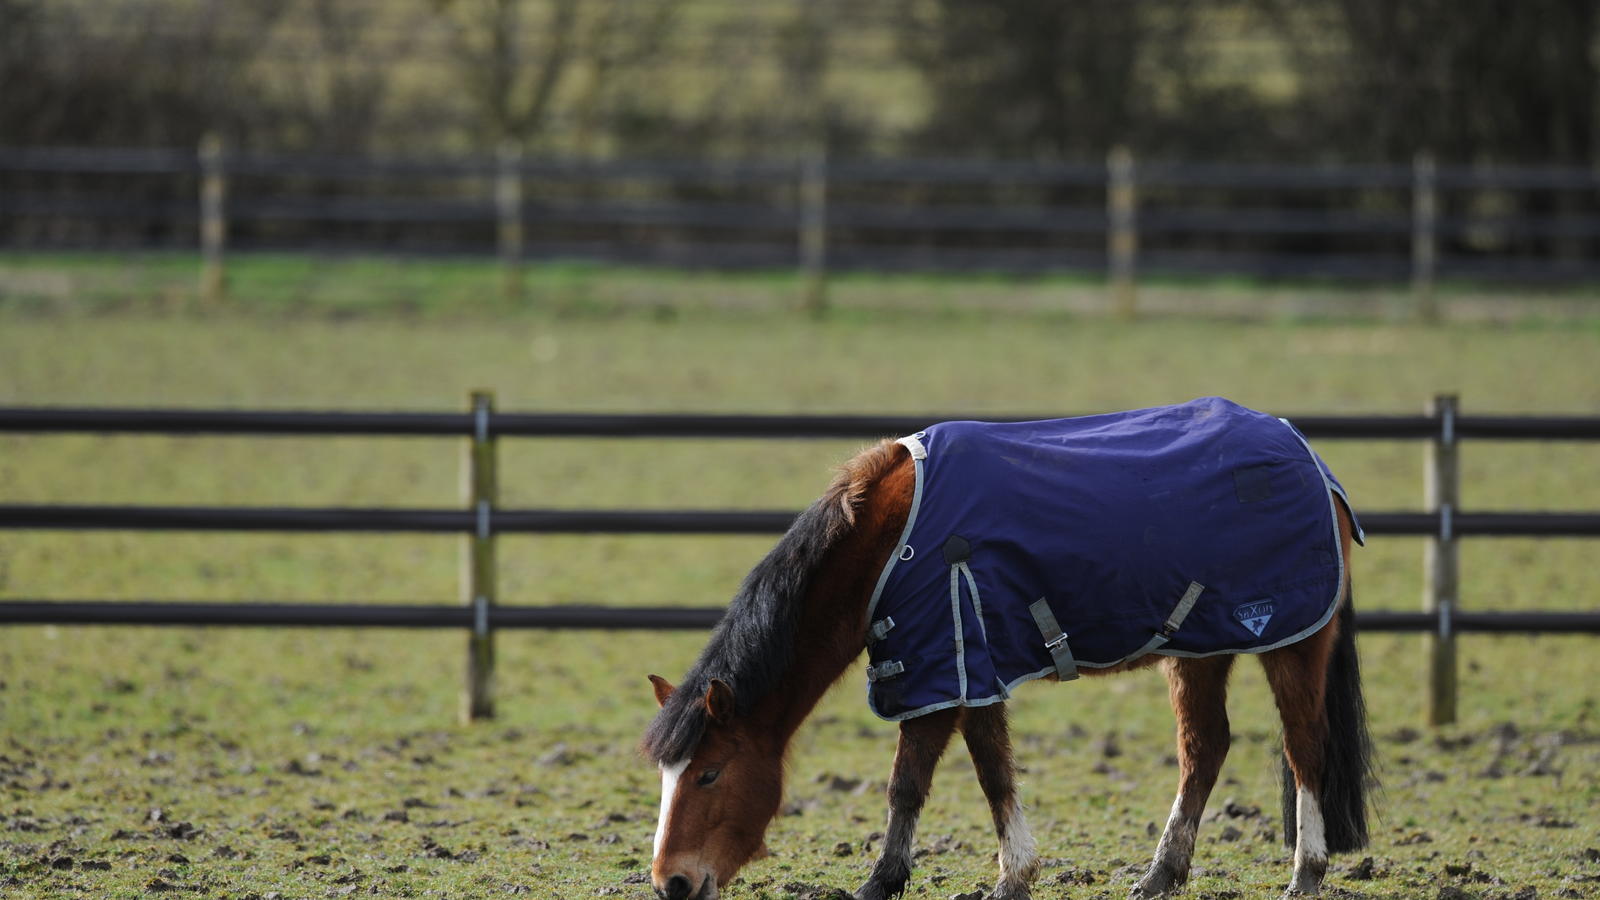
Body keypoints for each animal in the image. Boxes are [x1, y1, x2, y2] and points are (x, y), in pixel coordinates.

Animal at [642, 399, 1373, 900]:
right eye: (667, 777)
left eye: (709, 773)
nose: (671, 882)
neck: (891, 543)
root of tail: (1312, 460)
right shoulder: (957, 671)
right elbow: (970, 775)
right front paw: (992, 876)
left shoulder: (955, 668)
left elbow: (934, 781)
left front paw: (909, 880)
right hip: (1201, 650)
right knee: (1205, 749)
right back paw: (1160, 874)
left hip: (1290, 643)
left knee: (1304, 745)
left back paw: (1306, 872)